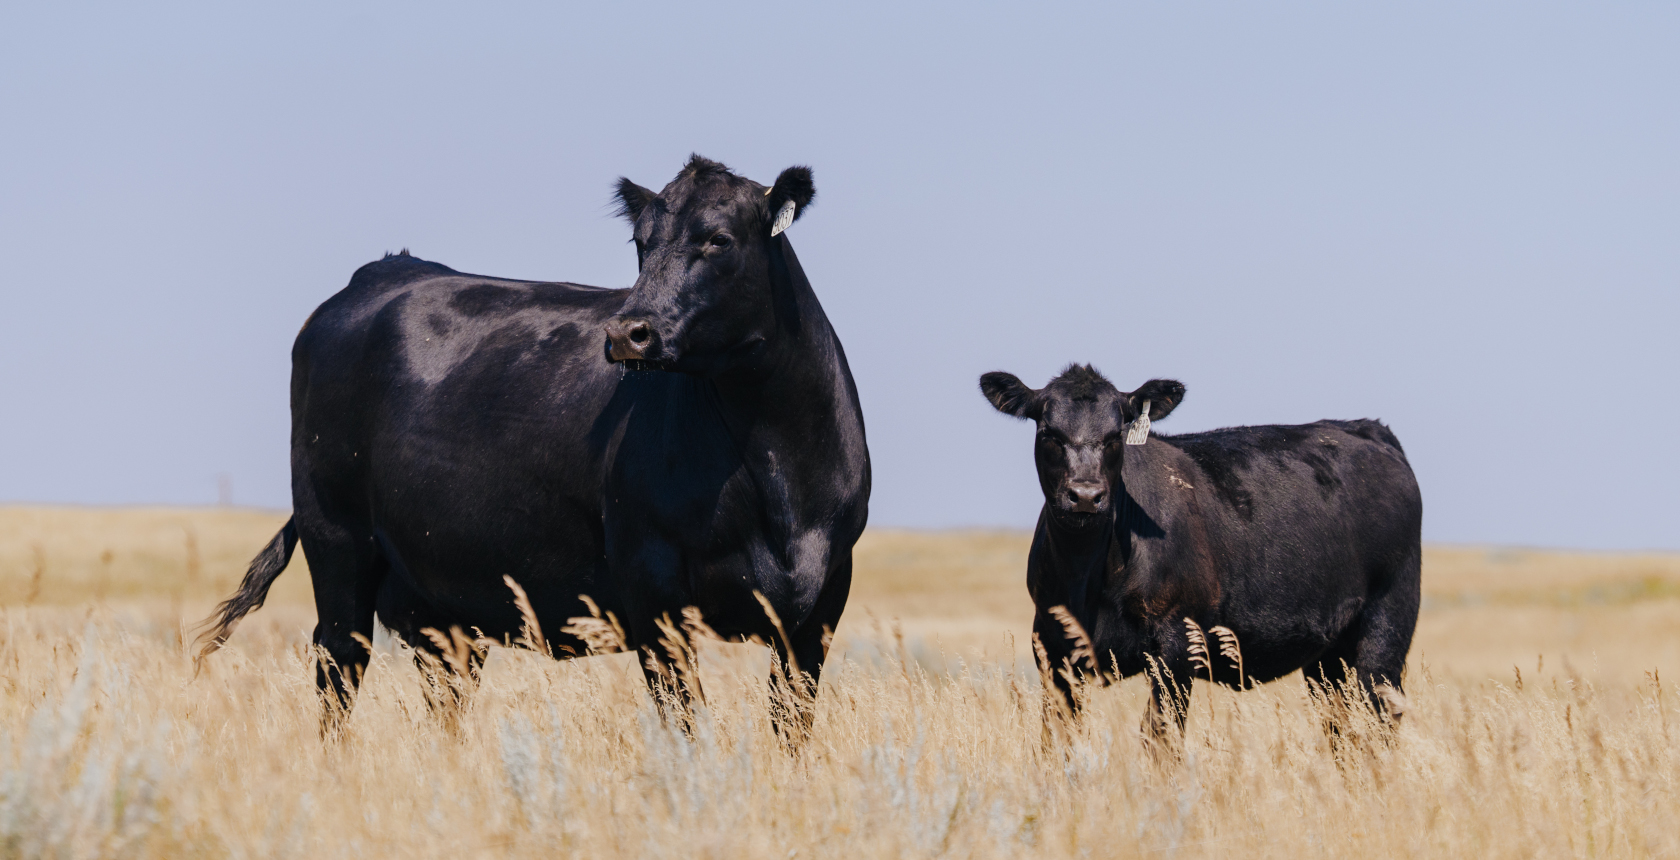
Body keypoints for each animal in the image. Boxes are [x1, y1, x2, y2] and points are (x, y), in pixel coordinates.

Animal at [197, 156, 871, 741]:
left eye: (719, 240)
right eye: (640, 244)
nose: (629, 333)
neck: (775, 470)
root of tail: (385, 271)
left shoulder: (821, 606)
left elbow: (791, 729)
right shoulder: (654, 591)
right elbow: (685, 726)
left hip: (441, 604)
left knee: (443, 694)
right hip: (338, 542)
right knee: (338, 669)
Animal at [979, 364, 1419, 741]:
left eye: (1115, 436)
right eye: (1049, 434)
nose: (1086, 495)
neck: (1088, 576)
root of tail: (1365, 428)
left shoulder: (1177, 643)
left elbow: (1160, 738)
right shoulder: (1052, 649)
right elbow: (1056, 740)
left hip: (1387, 624)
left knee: (1380, 721)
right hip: (1328, 657)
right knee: (1342, 729)